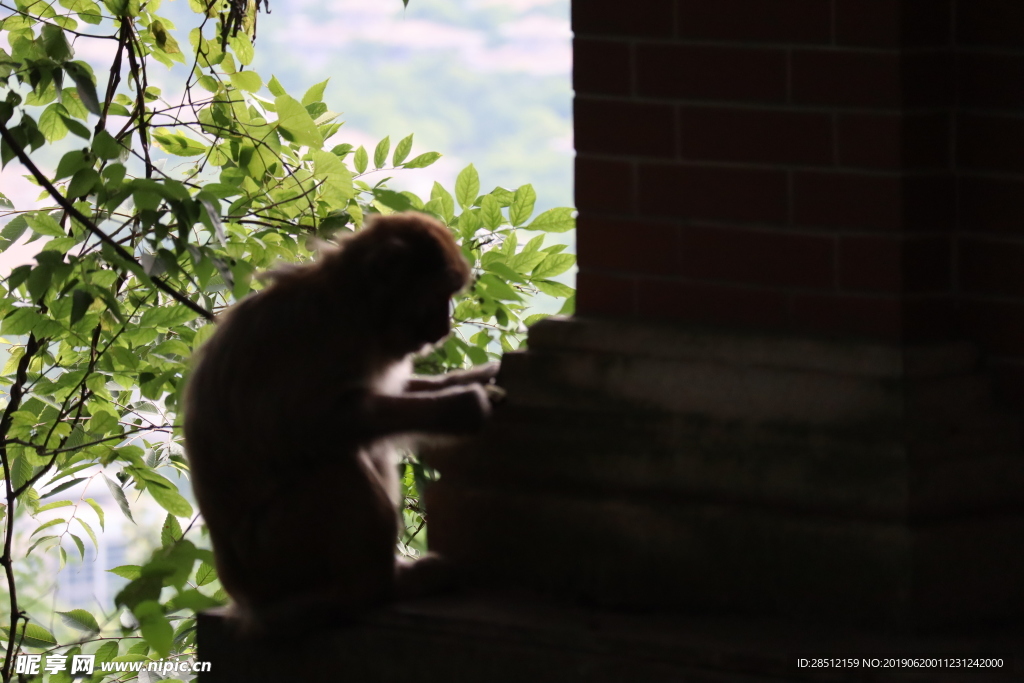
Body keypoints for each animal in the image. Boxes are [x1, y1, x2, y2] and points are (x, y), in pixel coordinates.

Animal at [185, 210, 503, 626]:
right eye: (439, 294)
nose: (443, 330)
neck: (356, 305)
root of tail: (242, 595)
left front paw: (478, 378)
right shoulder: (321, 336)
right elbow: (311, 426)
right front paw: (461, 406)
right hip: (275, 555)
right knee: (338, 466)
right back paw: (380, 587)